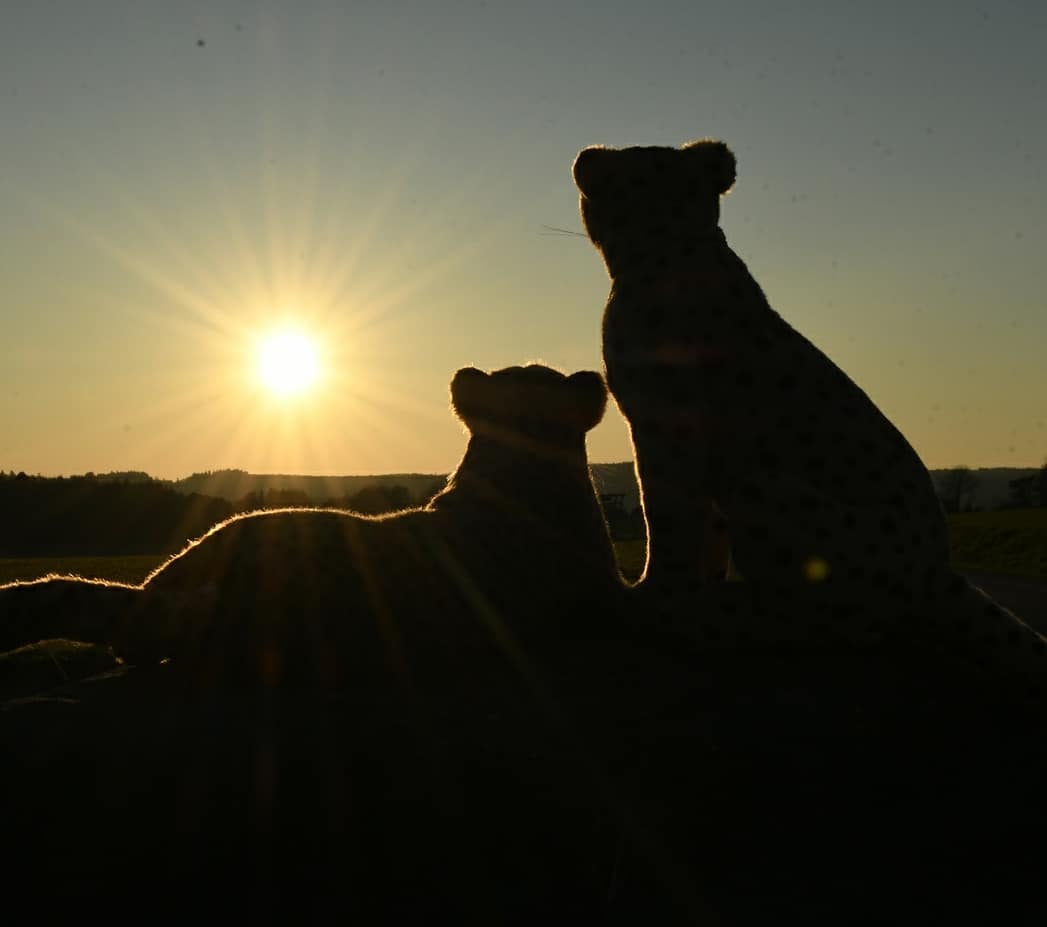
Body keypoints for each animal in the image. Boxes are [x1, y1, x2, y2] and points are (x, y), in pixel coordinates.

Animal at [573, 135, 1047, 678]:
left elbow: (666, 522)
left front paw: (656, 599)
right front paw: (689, 591)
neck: (670, 248)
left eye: (624, 163)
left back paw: (734, 621)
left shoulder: (665, 433)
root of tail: (939, 572)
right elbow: (703, 534)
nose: (584, 157)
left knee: (834, 622)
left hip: (764, 490)